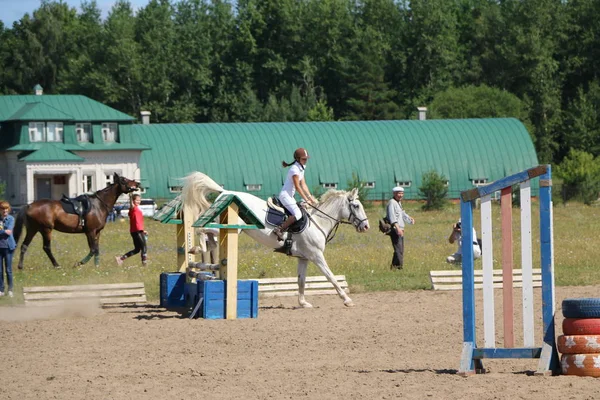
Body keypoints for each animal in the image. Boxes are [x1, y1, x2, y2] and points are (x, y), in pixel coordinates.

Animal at [14, 173, 142, 268]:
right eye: (124, 179)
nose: (138, 183)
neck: (99, 204)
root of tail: (29, 206)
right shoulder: (90, 231)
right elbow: (93, 249)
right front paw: (79, 264)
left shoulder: (97, 232)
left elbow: (96, 249)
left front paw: (97, 266)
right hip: (46, 230)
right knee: (46, 247)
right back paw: (56, 265)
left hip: (33, 229)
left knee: (24, 245)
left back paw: (20, 267)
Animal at [183, 171, 370, 306]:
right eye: (356, 206)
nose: (366, 226)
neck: (318, 222)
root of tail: (226, 192)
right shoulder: (317, 256)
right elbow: (331, 277)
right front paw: (347, 300)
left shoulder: (304, 258)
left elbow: (301, 280)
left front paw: (303, 302)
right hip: (227, 227)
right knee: (201, 230)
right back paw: (195, 247)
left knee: (210, 239)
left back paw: (200, 248)